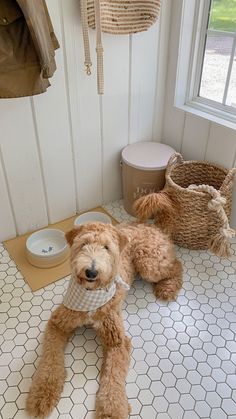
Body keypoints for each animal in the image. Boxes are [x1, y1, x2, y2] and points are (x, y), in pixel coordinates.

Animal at [25, 221, 183, 418]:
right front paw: (42, 393)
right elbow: (50, 360)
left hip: (149, 264)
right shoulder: (58, 323)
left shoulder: (117, 340)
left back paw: (167, 288)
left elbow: (113, 375)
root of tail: (150, 226)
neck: (91, 295)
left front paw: (111, 410)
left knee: (176, 266)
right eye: (83, 244)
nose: (91, 272)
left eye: (107, 247)